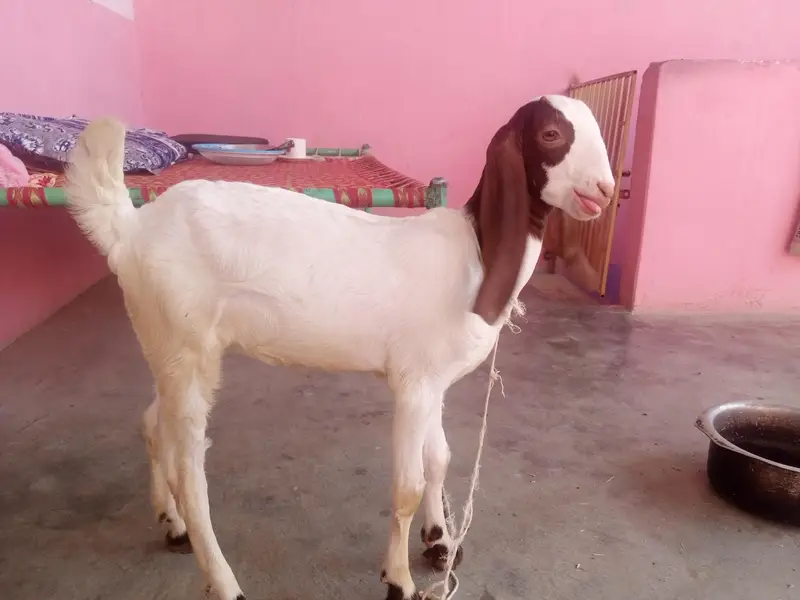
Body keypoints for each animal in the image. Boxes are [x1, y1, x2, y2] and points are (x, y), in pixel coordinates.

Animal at [65, 95, 615, 600]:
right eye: (550, 134)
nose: (606, 190)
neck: (474, 252)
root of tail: (132, 228)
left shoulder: (431, 382)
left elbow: (439, 458)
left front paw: (440, 542)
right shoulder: (411, 385)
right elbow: (408, 486)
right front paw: (399, 581)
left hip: (172, 348)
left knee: (153, 424)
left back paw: (173, 524)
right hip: (186, 345)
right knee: (190, 469)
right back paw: (222, 581)